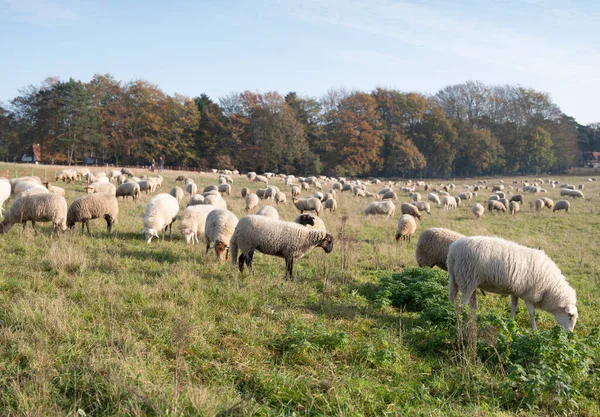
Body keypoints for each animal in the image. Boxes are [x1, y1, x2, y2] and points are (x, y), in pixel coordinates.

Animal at [448, 237, 580, 332]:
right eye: (570, 316)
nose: (570, 333)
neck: (550, 288)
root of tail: (453, 250)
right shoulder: (529, 295)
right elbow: (532, 313)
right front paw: (534, 329)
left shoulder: (516, 290)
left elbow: (514, 306)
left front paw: (510, 321)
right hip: (467, 278)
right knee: (463, 303)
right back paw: (463, 317)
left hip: (460, 279)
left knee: (459, 299)